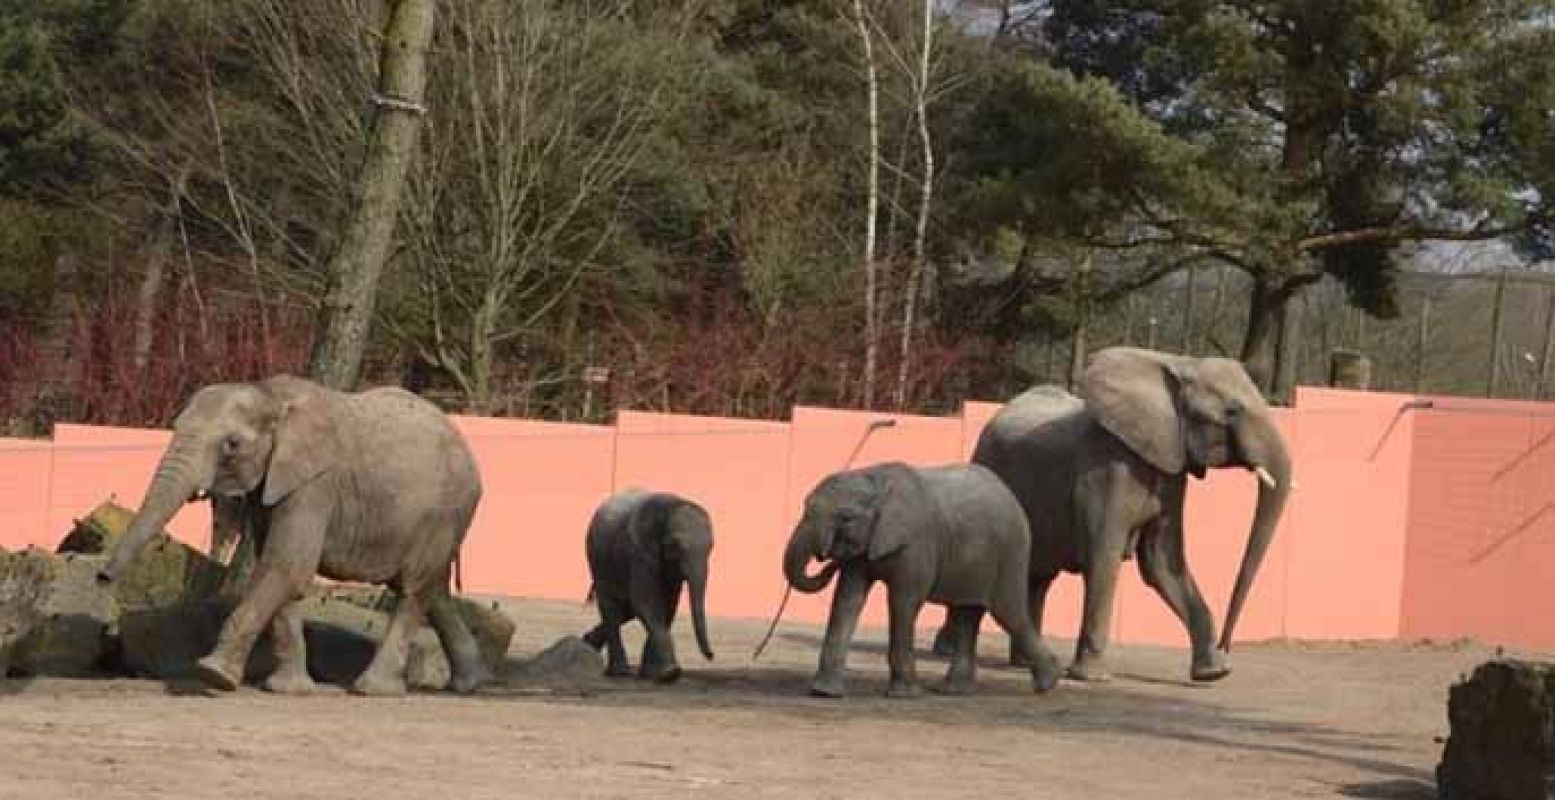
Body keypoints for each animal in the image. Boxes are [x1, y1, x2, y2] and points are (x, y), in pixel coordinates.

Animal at [97, 373, 485, 691]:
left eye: (231, 445)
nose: (102, 577)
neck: (270, 395)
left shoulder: (314, 485)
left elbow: (286, 566)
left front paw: (213, 675)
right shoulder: (270, 487)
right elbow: (278, 569)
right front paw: (288, 689)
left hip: (444, 513)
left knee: (413, 589)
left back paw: (373, 689)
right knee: (433, 589)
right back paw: (469, 683)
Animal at [581, 485, 712, 678]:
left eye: (711, 548)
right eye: (676, 545)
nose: (711, 655)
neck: (671, 505)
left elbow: (667, 607)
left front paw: (652, 674)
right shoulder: (639, 553)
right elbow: (646, 602)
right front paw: (670, 673)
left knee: (625, 611)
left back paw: (588, 642)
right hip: (597, 560)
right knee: (611, 608)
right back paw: (618, 671)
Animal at [783, 457, 1063, 694]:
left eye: (846, 518)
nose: (828, 559)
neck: (876, 477)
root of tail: (1010, 494)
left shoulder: (917, 544)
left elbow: (903, 602)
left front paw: (903, 694)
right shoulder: (866, 547)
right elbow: (847, 599)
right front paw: (824, 692)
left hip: (1010, 552)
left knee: (1008, 613)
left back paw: (1047, 684)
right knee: (967, 613)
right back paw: (953, 691)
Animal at [932, 345, 1287, 681]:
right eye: (1232, 411)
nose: (1227, 647)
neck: (1176, 363)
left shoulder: (1170, 471)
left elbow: (1162, 563)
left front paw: (1213, 673)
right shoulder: (1105, 472)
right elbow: (1104, 559)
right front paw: (1093, 677)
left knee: (1038, 575)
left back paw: (1023, 663)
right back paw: (947, 652)